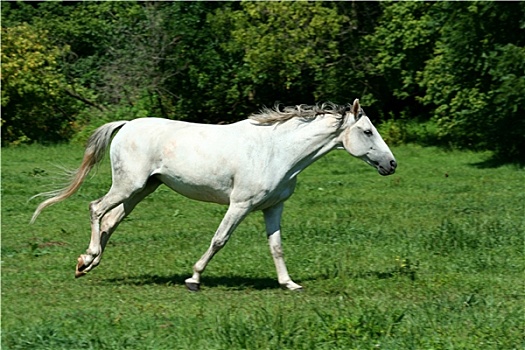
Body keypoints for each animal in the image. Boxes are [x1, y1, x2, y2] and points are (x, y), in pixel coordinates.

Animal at [30, 98, 396, 290]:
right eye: (367, 131)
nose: (391, 164)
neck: (276, 151)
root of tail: (126, 124)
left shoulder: (273, 207)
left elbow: (276, 247)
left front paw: (289, 284)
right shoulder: (240, 204)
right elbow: (219, 240)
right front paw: (193, 278)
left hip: (142, 189)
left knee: (110, 221)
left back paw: (85, 265)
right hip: (127, 185)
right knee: (96, 208)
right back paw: (88, 257)